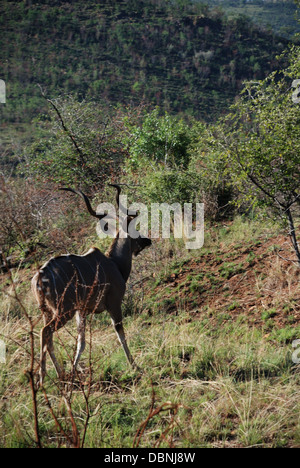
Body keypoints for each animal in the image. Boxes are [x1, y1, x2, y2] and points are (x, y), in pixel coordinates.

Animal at [31, 185, 151, 386]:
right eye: (135, 230)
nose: (147, 240)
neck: (114, 263)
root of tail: (40, 277)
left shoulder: (82, 311)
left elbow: (81, 342)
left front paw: (74, 370)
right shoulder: (113, 304)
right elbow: (120, 334)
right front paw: (134, 366)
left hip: (48, 312)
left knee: (48, 336)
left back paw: (61, 374)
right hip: (64, 311)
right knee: (45, 331)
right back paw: (42, 377)